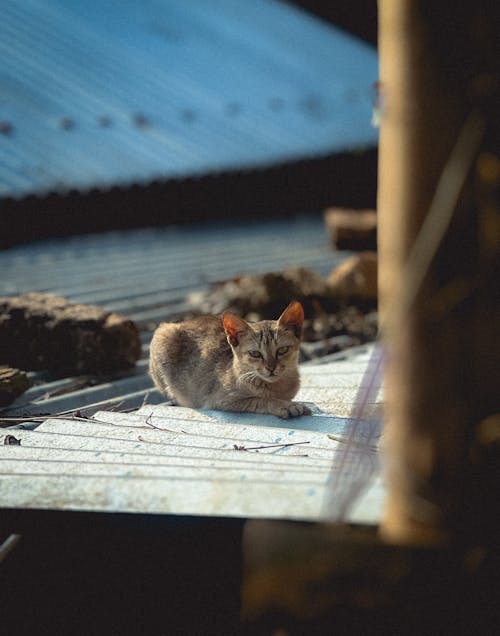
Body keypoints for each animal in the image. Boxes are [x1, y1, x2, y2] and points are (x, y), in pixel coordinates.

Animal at [149, 302, 312, 418]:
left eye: (282, 350)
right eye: (255, 354)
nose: (271, 367)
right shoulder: (220, 401)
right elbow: (259, 400)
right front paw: (285, 406)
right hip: (163, 336)